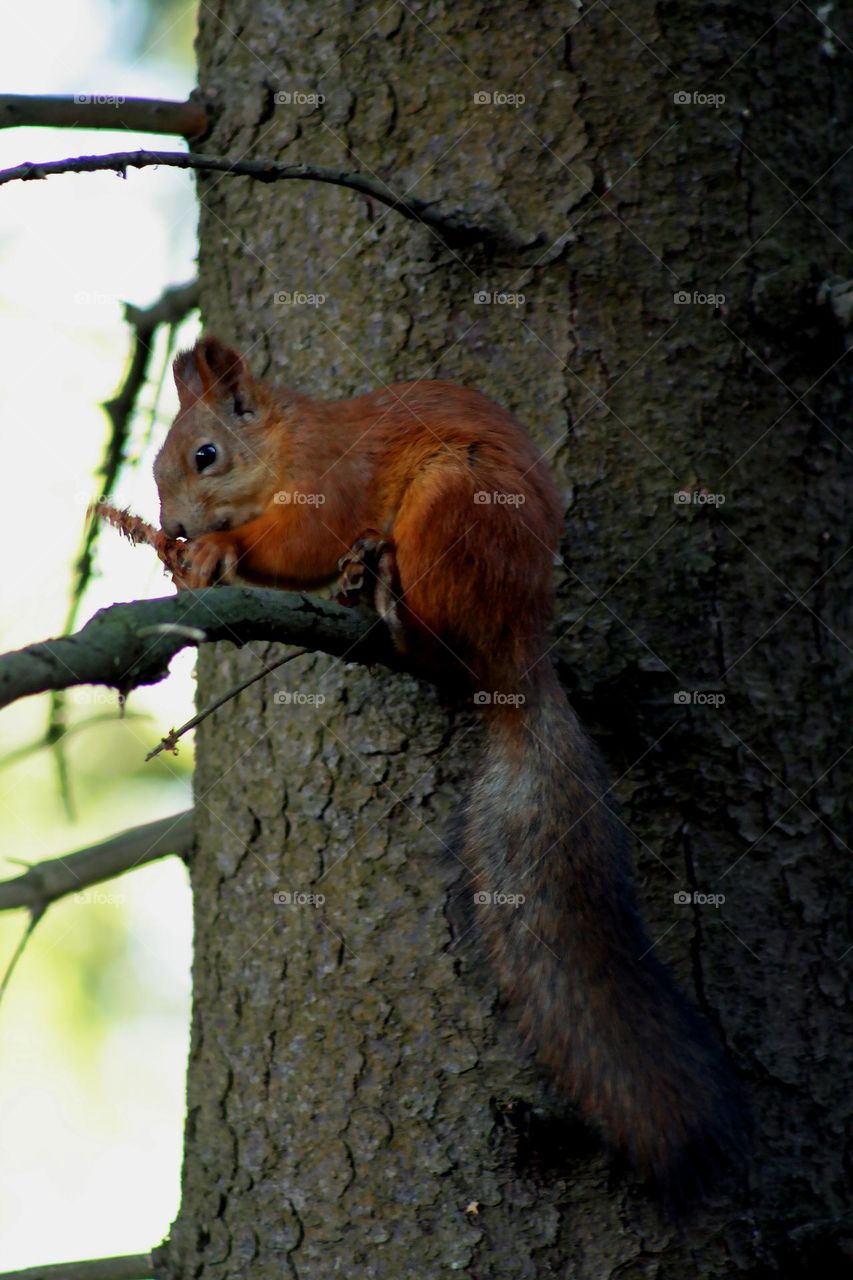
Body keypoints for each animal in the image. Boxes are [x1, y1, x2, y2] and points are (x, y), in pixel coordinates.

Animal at [154, 335, 749, 1205]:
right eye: (157, 465)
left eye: (205, 455)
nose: (171, 528)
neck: (286, 442)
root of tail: (520, 644)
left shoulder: (335, 480)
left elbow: (302, 539)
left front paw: (218, 551)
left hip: (452, 505)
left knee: (438, 638)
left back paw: (397, 611)